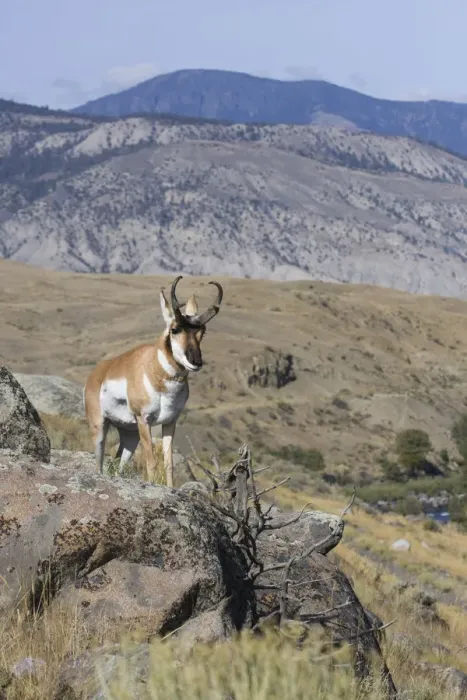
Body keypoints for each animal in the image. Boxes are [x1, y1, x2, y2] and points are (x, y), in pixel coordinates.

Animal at [84, 276, 223, 487]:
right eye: (175, 329)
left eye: (203, 332)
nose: (196, 362)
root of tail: (98, 372)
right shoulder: (144, 421)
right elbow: (151, 463)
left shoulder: (170, 423)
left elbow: (169, 464)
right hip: (100, 426)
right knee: (99, 463)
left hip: (130, 435)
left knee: (118, 464)